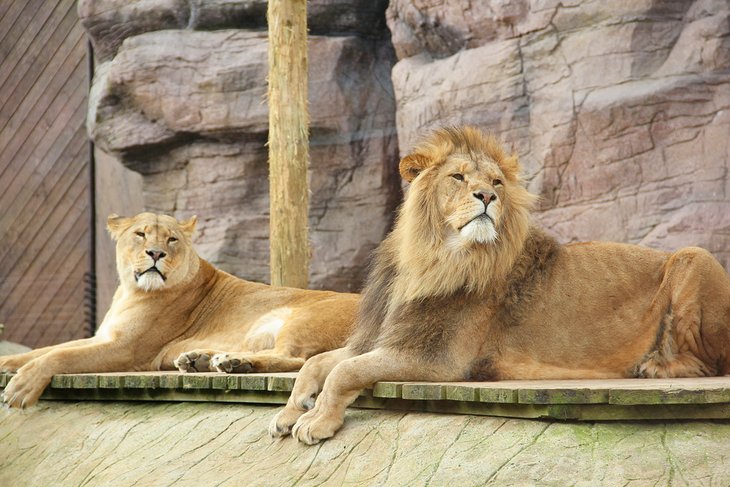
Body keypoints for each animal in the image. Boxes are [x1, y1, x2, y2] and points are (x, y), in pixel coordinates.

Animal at [0, 213, 358, 408]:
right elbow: (48, 349)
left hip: (302, 319)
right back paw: (203, 360)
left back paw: (232, 363)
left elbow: (60, 355)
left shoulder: (126, 349)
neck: (130, 290)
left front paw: (21, 387)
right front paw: (7, 363)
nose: (155, 253)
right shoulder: (103, 337)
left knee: (296, 359)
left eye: (171, 239)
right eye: (140, 233)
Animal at [270, 127, 728, 446]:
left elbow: (345, 371)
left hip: (694, 256)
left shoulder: (436, 359)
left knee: (711, 362)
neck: (428, 258)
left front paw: (317, 420)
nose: (486, 197)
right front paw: (291, 411)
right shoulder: (379, 338)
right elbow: (317, 363)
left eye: (497, 182)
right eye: (457, 177)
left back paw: (652, 366)